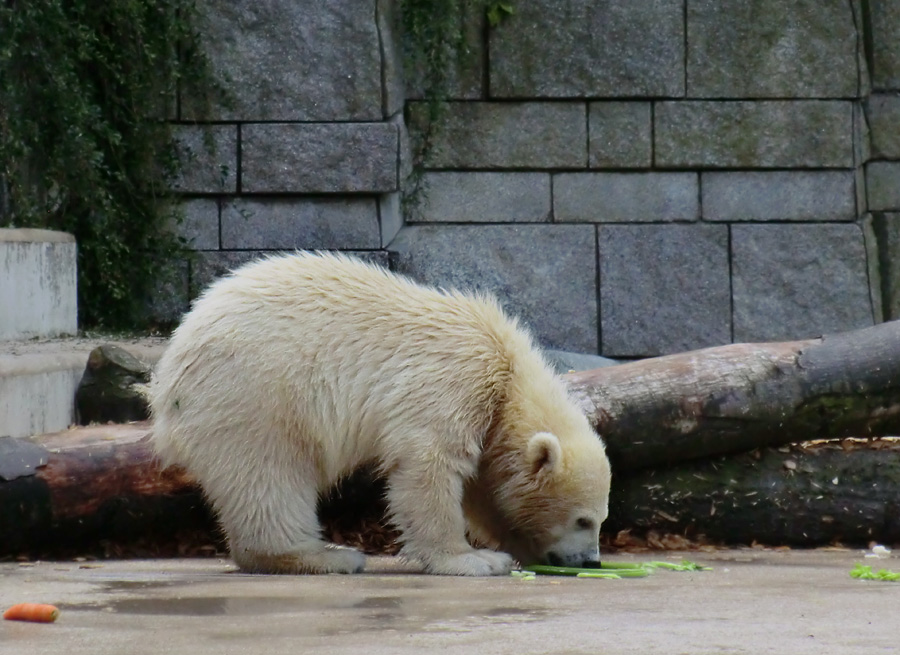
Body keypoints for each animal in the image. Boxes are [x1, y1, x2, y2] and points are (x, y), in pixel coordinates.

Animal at [151, 251, 612, 576]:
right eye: (583, 520)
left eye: (601, 519)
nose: (591, 561)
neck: (508, 370)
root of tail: (170, 367)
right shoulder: (453, 379)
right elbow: (428, 464)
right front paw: (473, 560)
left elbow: (486, 488)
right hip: (254, 392)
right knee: (269, 473)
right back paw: (323, 555)